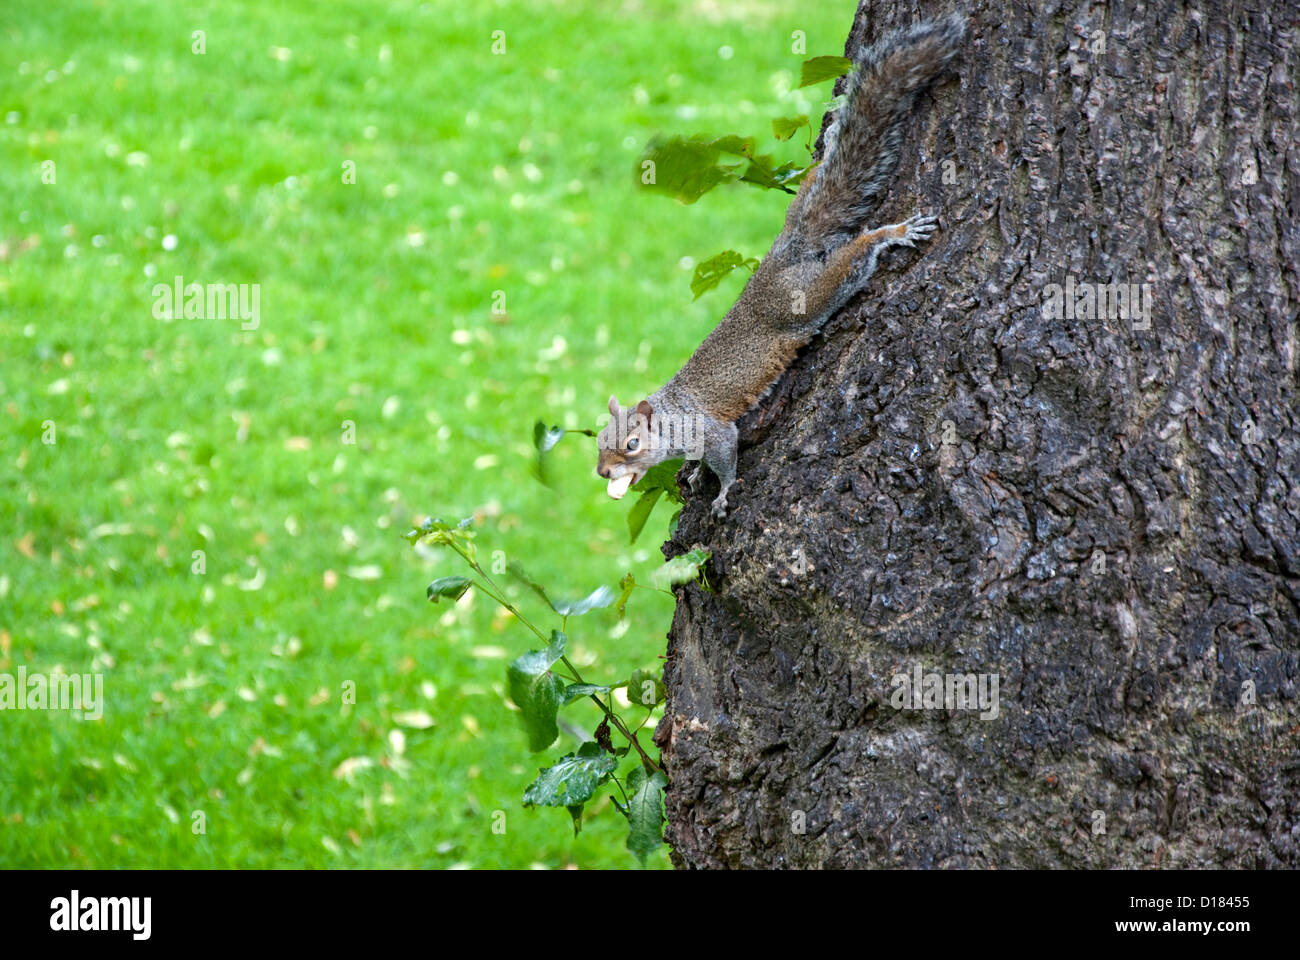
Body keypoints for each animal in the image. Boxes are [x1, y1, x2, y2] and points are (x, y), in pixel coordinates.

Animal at [598, 13, 967, 515]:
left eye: (631, 445)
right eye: (599, 441)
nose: (603, 473)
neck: (672, 415)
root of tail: (785, 254)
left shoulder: (709, 428)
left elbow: (725, 455)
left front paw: (721, 492)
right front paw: (692, 473)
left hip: (807, 297)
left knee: (852, 259)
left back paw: (890, 234)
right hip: (799, 220)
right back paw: (829, 141)